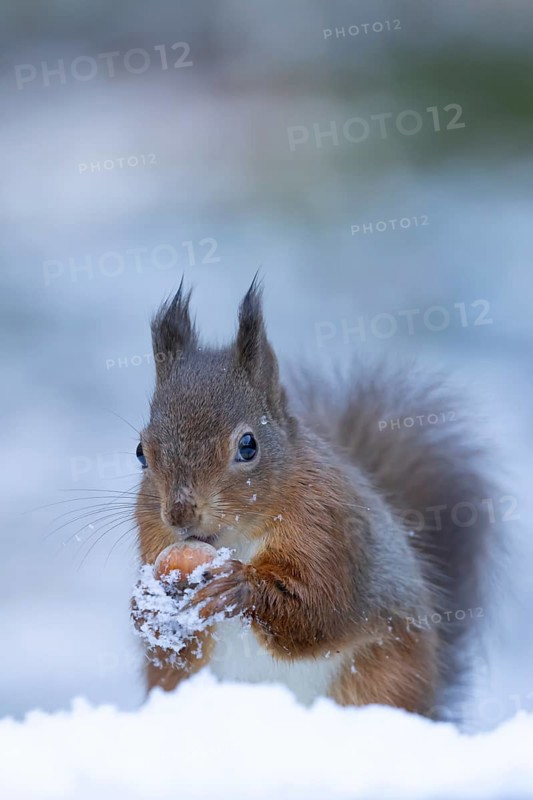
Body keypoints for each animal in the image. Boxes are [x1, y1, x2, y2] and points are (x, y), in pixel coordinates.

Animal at [133, 279, 498, 719]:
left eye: (248, 446)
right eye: (141, 452)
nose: (180, 513)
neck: (237, 539)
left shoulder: (329, 529)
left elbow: (319, 610)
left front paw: (239, 588)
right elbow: (175, 647)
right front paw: (147, 608)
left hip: (384, 680)